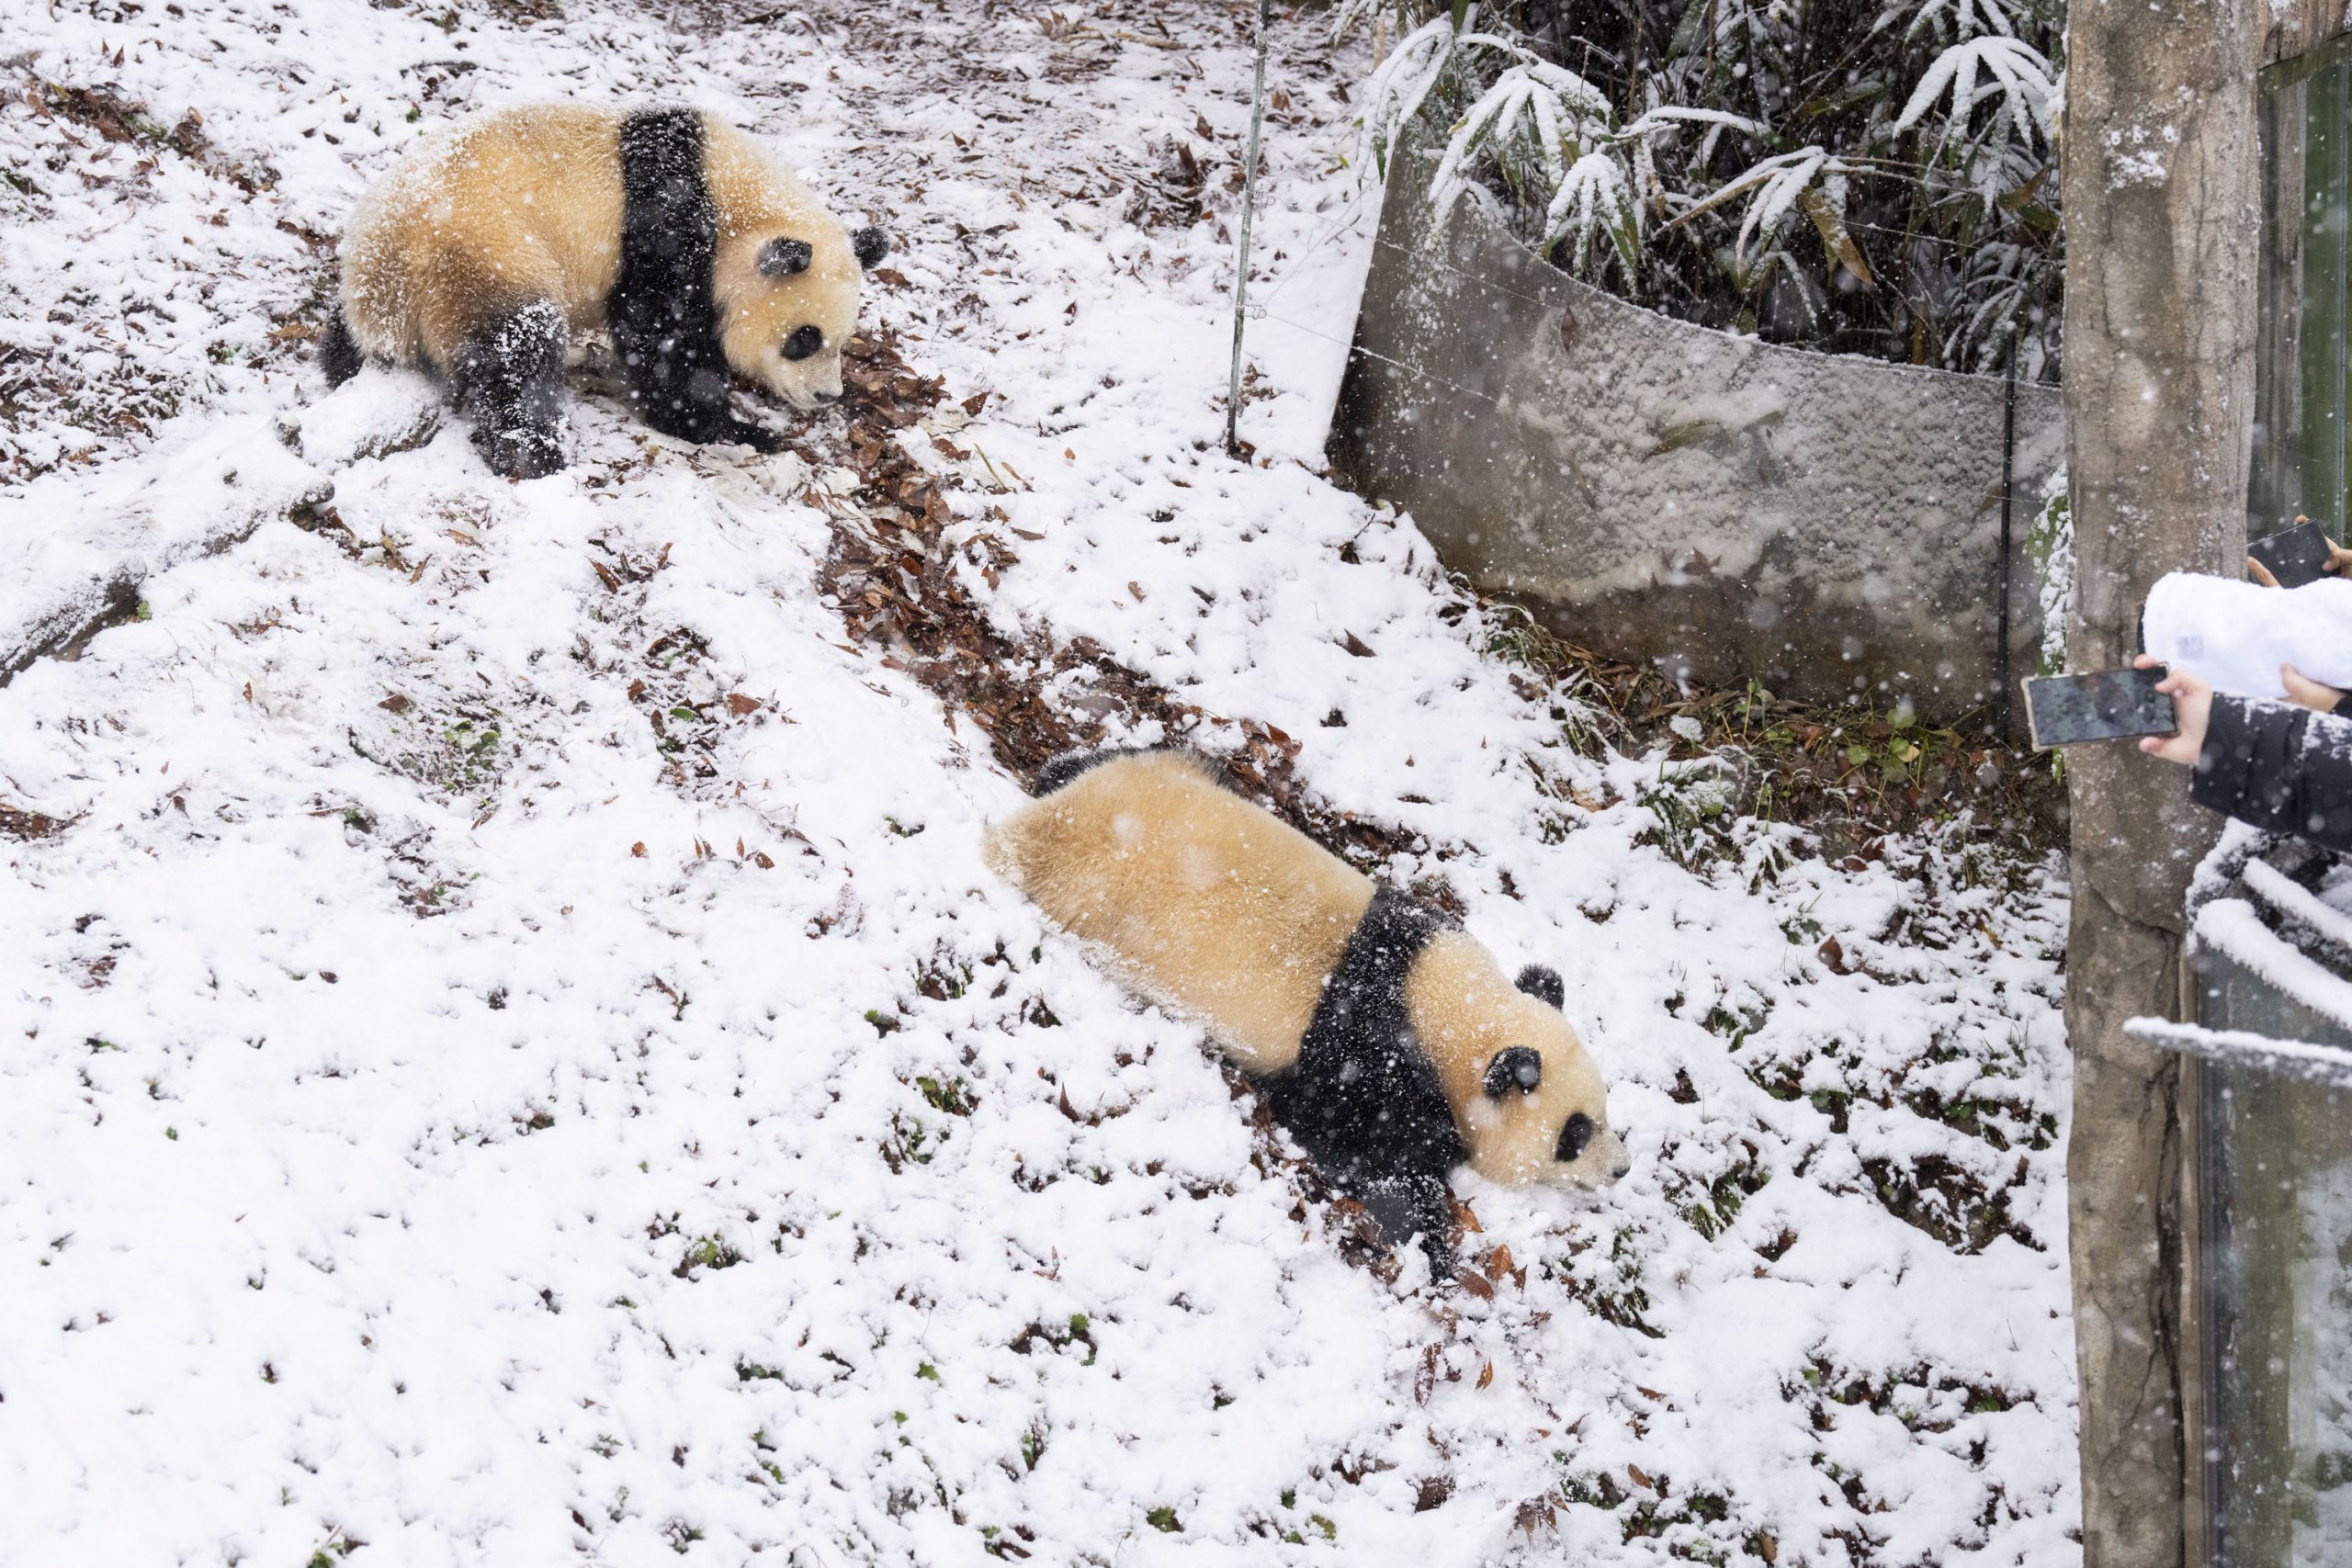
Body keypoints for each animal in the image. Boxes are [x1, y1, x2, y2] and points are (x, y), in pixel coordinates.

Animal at [322, 104, 888, 479]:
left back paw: (342, 363)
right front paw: (734, 427)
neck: (736, 205)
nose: (827, 396)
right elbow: (663, 341)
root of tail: (386, 272)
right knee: (516, 350)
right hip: (483, 251)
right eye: (804, 338)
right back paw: (536, 450)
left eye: (842, 341)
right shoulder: (666, 231)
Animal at [983, 742, 1627, 1269]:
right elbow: (1361, 1144)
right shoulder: (1361, 1055)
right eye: (1574, 1134)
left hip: (1154, 772)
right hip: (1085, 896)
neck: (1445, 1003)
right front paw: (1432, 1235)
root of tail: (1040, 824)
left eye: (1603, 1110)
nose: (1621, 1168)